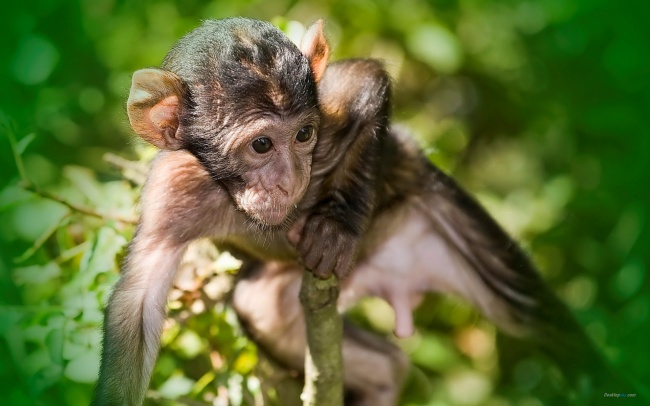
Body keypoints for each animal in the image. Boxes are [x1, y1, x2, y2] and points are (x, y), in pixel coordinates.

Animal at [93, 16, 620, 406]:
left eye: (303, 135)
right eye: (261, 145)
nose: (289, 180)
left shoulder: (328, 111)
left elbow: (367, 79)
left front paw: (337, 224)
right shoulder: (171, 192)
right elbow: (135, 308)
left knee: (538, 319)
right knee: (275, 315)